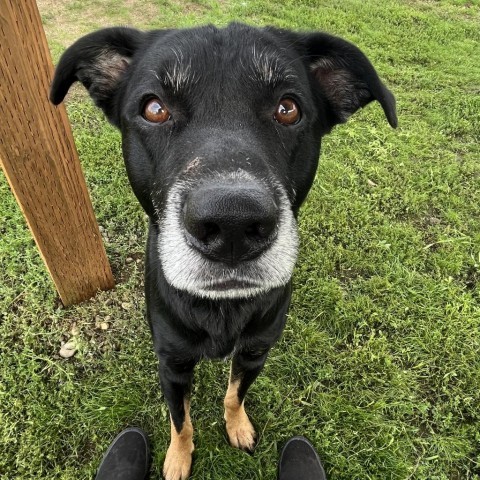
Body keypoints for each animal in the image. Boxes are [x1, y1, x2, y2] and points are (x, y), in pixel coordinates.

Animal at [50, 22, 396, 480]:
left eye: (288, 108)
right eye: (154, 108)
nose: (233, 224)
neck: (223, 308)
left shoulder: (255, 351)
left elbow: (235, 394)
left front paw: (238, 426)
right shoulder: (173, 363)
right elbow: (180, 419)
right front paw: (178, 458)